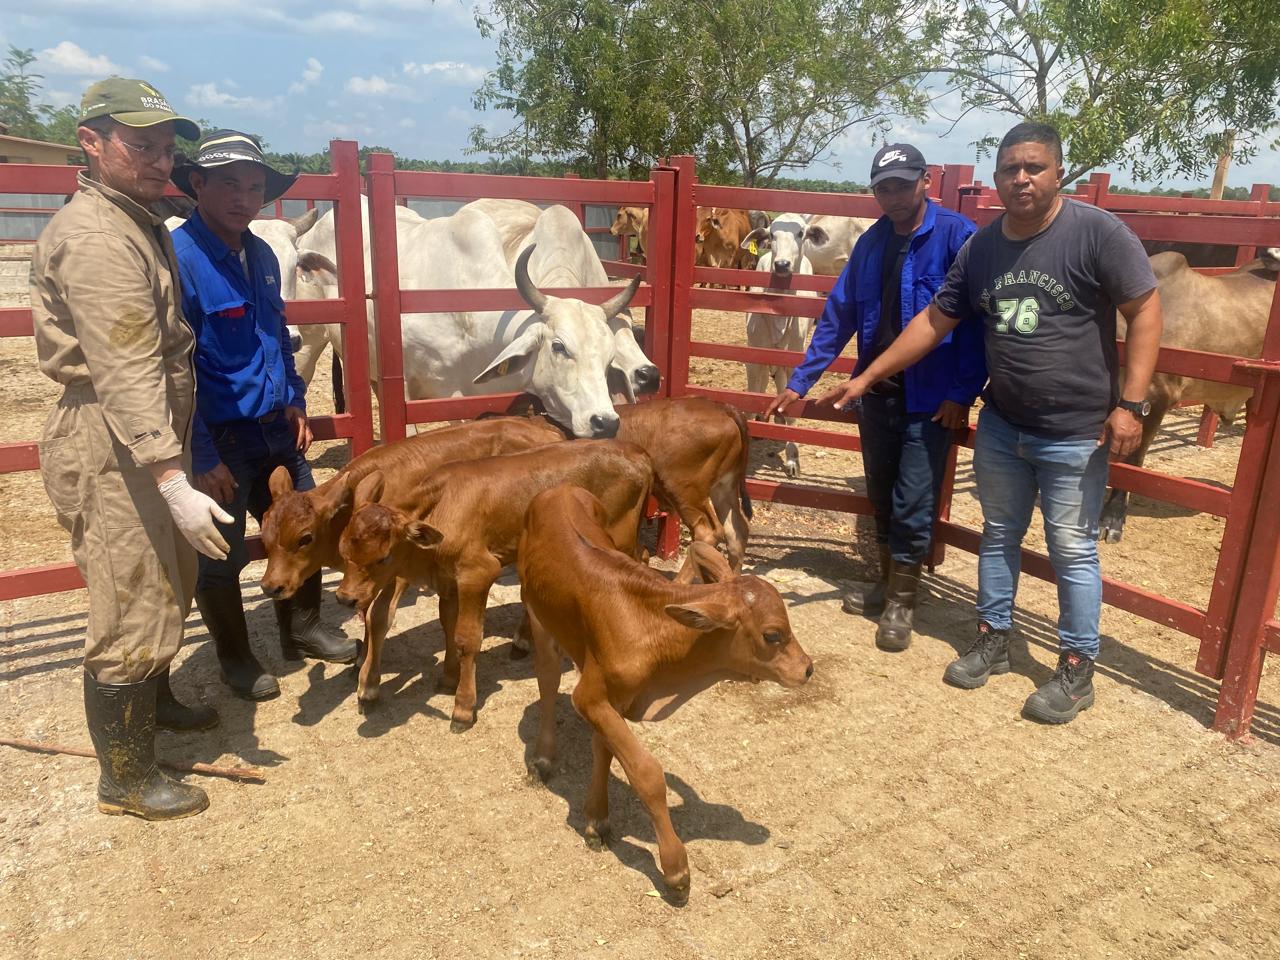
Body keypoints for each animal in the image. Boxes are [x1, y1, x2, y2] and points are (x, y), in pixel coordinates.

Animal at [335, 440, 655, 727]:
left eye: (383, 558)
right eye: (342, 550)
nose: (345, 598)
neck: (443, 505)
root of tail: (635, 451)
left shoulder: (478, 573)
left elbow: (467, 639)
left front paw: (463, 707)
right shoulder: (448, 580)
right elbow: (448, 625)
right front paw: (448, 677)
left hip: (618, 540)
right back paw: (522, 639)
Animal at [517, 488, 808, 896]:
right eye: (772, 635)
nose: (807, 668)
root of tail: (559, 489)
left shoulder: (615, 699)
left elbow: (604, 750)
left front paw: (596, 819)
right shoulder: (589, 695)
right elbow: (647, 773)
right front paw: (675, 867)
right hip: (536, 610)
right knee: (546, 680)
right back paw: (543, 758)